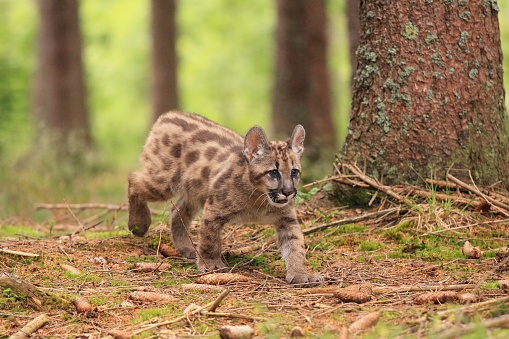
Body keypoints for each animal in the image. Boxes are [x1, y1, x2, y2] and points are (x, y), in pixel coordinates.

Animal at [130, 111, 322, 286]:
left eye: (294, 172)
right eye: (274, 172)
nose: (288, 192)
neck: (259, 200)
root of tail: (168, 115)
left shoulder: (286, 219)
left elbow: (296, 245)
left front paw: (300, 274)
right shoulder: (214, 209)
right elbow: (210, 240)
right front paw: (212, 265)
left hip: (195, 190)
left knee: (177, 212)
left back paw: (187, 248)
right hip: (164, 180)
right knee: (134, 180)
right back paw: (138, 224)